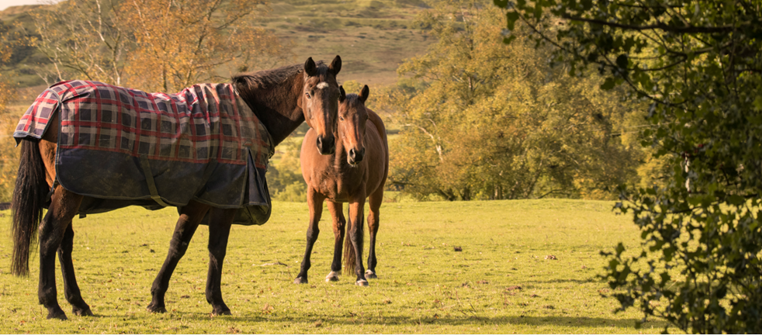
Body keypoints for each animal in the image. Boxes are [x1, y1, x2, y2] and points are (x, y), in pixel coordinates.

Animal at [10, 55, 342, 320]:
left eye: (338, 96)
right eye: (309, 93)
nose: (326, 142)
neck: (248, 112)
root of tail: (51, 100)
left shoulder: (203, 200)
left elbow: (180, 245)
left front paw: (158, 299)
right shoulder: (219, 199)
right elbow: (207, 248)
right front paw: (215, 302)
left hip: (68, 189)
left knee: (63, 243)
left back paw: (78, 303)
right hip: (69, 192)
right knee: (49, 236)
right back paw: (52, 305)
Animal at [290, 84, 386, 286]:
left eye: (365, 117)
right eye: (341, 117)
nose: (357, 153)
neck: (335, 160)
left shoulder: (358, 196)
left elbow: (356, 233)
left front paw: (360, 276)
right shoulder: (315, 194)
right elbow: (312, 232)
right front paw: (302, 274)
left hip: (377, 192)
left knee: (372, 223)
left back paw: (370, 269)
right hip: (333, 199)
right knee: (339, 227)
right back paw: (334, 270)